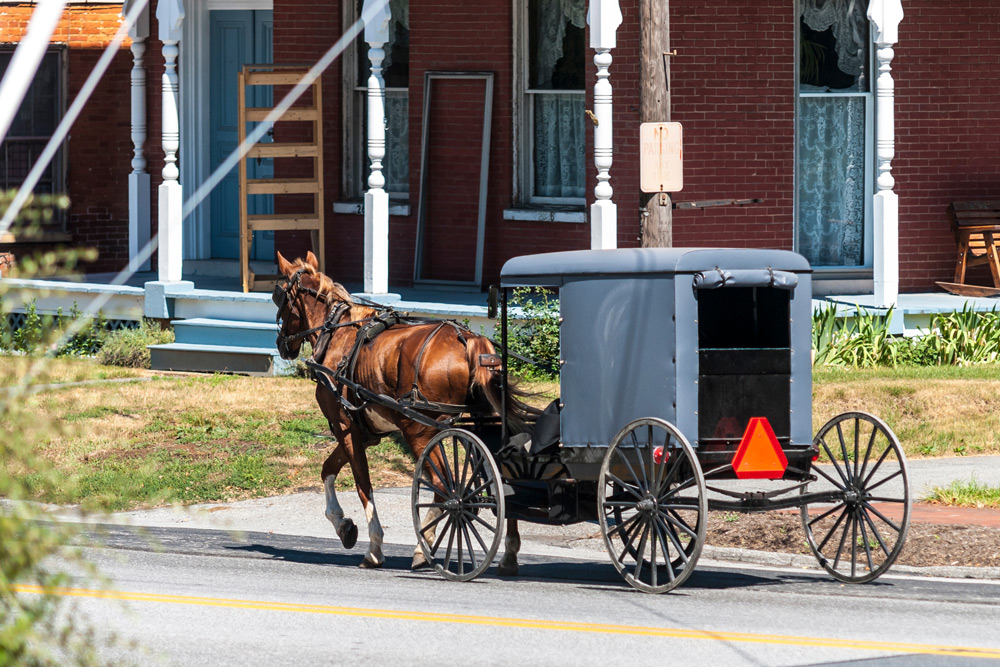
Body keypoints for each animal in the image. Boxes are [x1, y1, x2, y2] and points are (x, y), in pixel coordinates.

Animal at [270, 252, 536, 576]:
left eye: (278, 296)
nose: (281, 344)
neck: (337, 334)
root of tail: (471, 341)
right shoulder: (364, 431)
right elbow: (327, 469)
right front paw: (343, 526)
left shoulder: (344, 425)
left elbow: (363, 485)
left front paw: (373, 547)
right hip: (480, 424)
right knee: (502, 483)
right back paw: (508, 553)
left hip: (418, 431)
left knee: (443, 488)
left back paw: (424, 547)